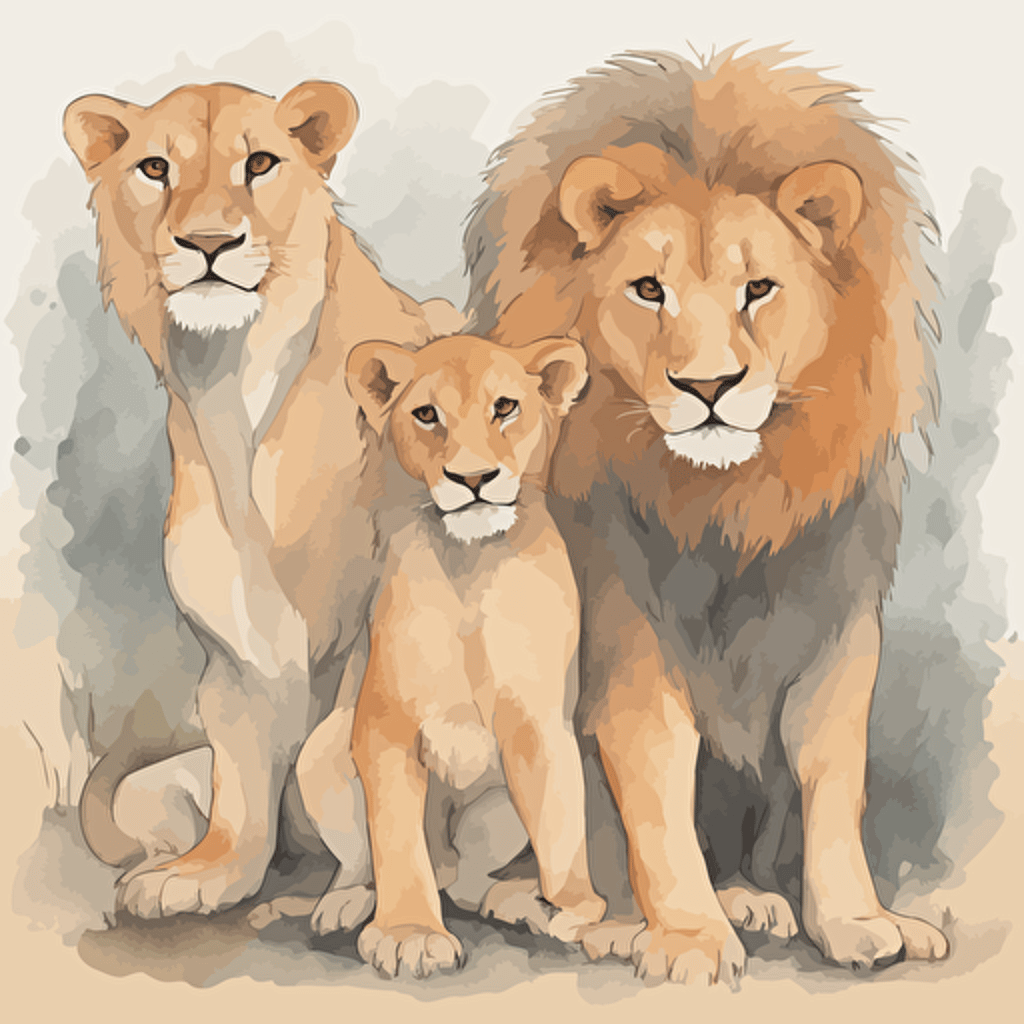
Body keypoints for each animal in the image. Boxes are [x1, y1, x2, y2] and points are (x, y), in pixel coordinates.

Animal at [63, 80, 460, 917]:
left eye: (262, 164)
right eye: (155, 168)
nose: (208, 243)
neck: (232, 383)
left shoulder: (388, 615)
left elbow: (335, 754)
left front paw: (368, 894)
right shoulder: (237, 646)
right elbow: (244, 782)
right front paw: (205, 875)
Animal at [292, 333, 605, 977]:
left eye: (505, 407)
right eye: (426, 414)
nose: (474, 476)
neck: (472, 562)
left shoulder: (541, 725)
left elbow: (561, 826)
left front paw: (575, 908)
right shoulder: (383, 726)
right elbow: (395, 839)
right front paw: (409, 934)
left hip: (496, 808)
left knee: (466, 880)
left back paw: (516, 902)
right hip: (321, 751)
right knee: (365, 862)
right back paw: (344, 903)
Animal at [463, 48, 950, 984]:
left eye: (758, 288)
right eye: (649, 289)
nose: (709, 386)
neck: (728, 500)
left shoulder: (836, 623)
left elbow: (832, 778)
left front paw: (858, 921)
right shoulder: (625, 632)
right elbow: (654, 778)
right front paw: (688, 938)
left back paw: (759, 900)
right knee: (523, 884)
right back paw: (618, 922)